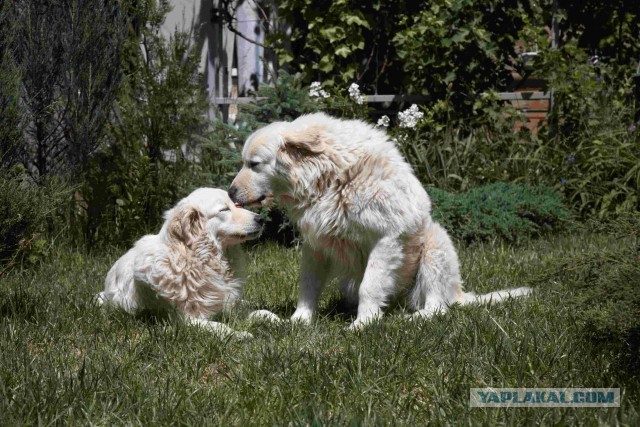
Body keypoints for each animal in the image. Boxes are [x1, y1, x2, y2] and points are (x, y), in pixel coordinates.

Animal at [98, 189, 272, 340]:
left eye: (238, 206)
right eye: (224, 209)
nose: (261, 219)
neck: (198, 260)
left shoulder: (231, 307)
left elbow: (260, 312)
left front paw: (276, 321)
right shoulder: (185, 321)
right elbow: (219, 326)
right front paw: (240, 334)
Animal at [228, 112, 532, 330]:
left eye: (254, 164)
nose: (230, 192)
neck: (330, 177)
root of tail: (459, 294)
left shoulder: (387, 237)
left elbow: (371, 285)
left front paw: (363, 324)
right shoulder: (316, 245)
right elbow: (308, 284)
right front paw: (298, 321)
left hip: (435, 243)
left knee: (437, 307)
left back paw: (412, 319)